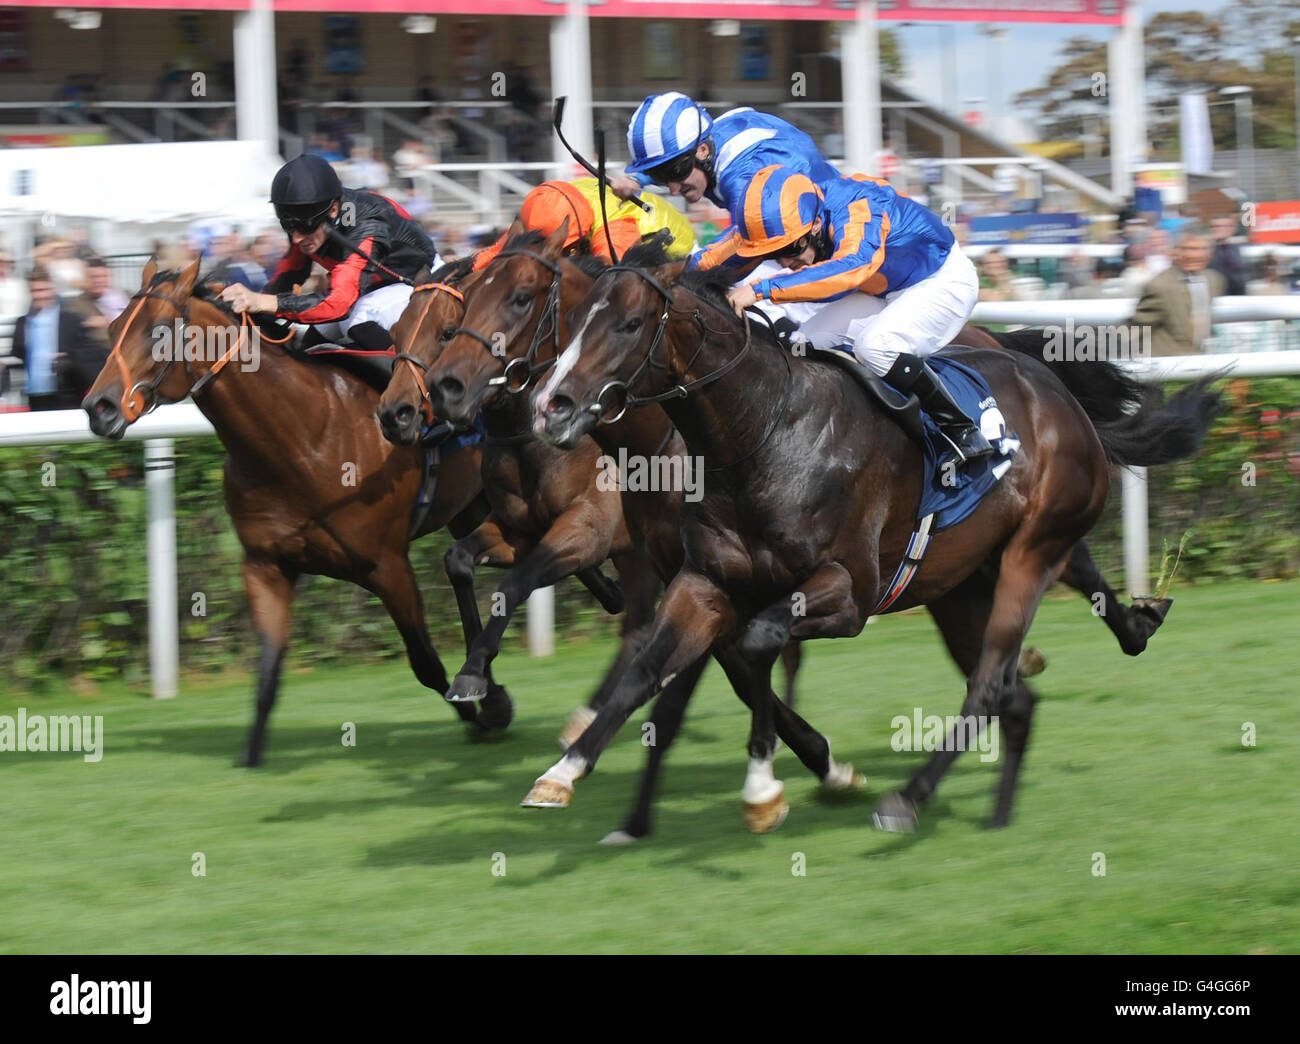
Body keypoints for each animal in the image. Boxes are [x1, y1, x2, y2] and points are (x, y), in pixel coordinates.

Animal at [79, 258, 496, 769]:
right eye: (114, 327)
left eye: (158, 331)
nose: (97, 407)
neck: (304, 435)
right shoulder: (265, 565)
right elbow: (267, 673)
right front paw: (250, 757)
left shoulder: (387, 565)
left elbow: (426, 663)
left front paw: (486, 715)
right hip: (473, 505)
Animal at [379, 230, 847, 842]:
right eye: (394, 331)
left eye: (520, 299)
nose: (430, 396)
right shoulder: (528, 530)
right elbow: (463, 562)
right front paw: (484, 686)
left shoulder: (592, 530)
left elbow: (520, 585)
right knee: (641, 627)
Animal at [522, 250, 1211, 832]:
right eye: (576, 321)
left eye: (630, 324)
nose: (551, 407)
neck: (766, 432)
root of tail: (1056, 392)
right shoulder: (705, 583)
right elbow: (647, 672)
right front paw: (564, 772)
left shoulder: (848, 594)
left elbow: (758, 644)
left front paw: (764, 787)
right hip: (959, 586)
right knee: (1015, 696)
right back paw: (1001, 808)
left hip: (1030, 551)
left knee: (992, 683)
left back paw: (906, 799)